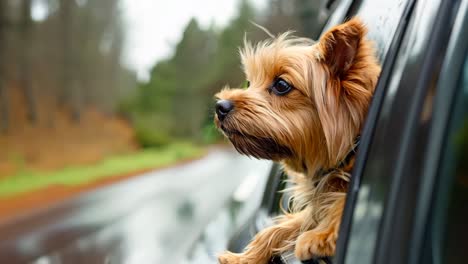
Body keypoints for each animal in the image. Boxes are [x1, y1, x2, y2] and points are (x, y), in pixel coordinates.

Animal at [214, 17, 382, 262]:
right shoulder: (313, 205)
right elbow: (278, 228)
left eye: (281, 85)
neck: (350, 153)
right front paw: (243, 258)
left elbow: (342, 202)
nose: (220, 106)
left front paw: (321, 235)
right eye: (249, 82)